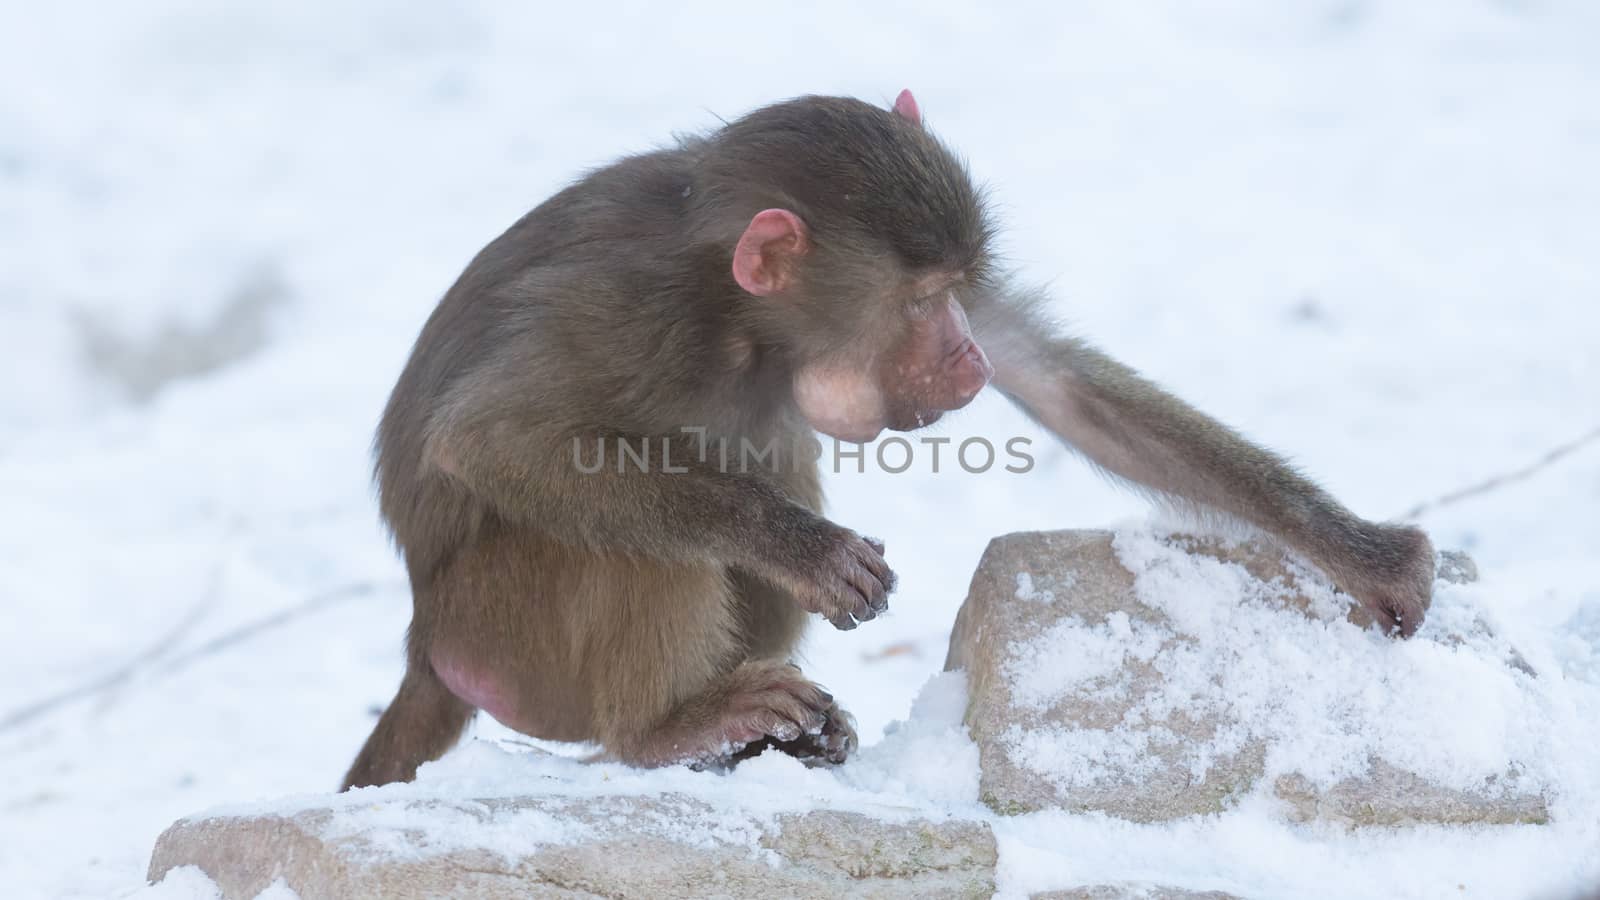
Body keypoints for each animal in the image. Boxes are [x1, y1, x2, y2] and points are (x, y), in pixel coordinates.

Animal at [340, 91, 1440, 787]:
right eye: (917, 301)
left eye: (956, 290)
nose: (967, 358)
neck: (742, 318)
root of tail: (424, 645)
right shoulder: (627, 309)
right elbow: (492, 441)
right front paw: (801, 548)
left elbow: (1063, 387)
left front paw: (1366, 556)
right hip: (504, 635)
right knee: (621, 529)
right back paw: (665, 729)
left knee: (768, 455)